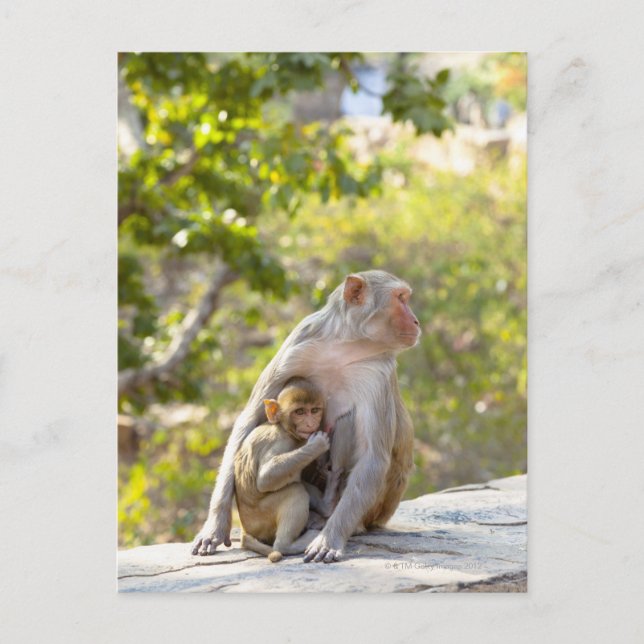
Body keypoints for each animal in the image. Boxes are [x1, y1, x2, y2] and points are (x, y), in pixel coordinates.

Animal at [234, 378, 341, 562]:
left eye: (314, 410)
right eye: (300, 412)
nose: (311, 423)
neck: (285, 429)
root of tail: (246, 530)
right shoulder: (281, 442)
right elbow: (265, 478)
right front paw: (317, 445)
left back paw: (326, 506)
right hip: (262, 519)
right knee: (295, 490)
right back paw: (288, 545)